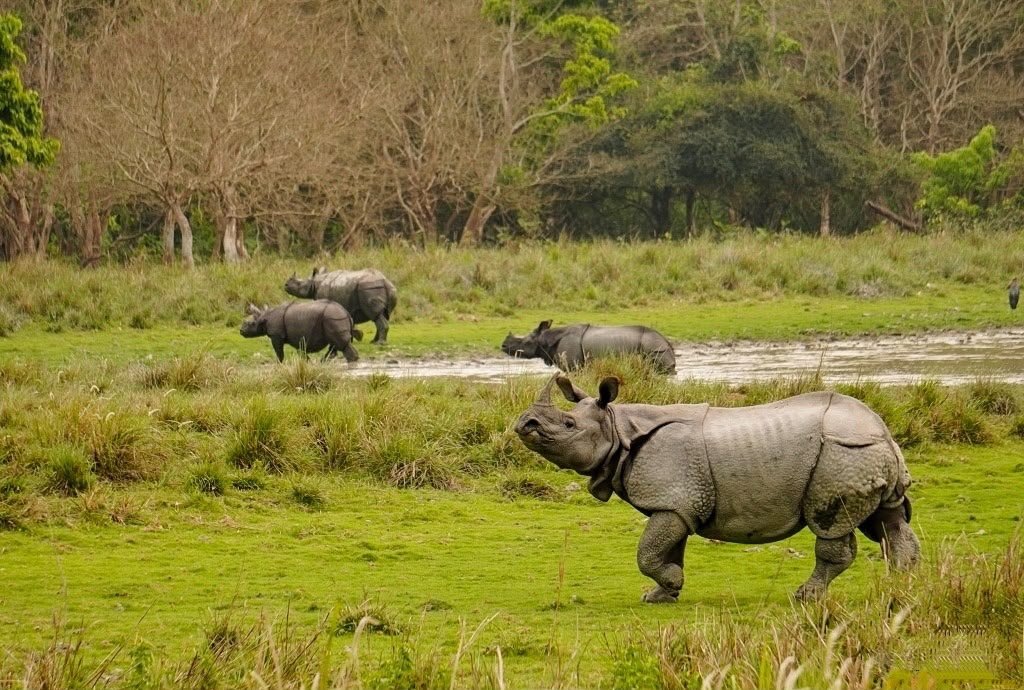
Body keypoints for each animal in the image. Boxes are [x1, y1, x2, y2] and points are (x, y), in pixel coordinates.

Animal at [501, 321, 676, 374]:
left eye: (524, 342)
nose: (503, 346)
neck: (546, 339)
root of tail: (667, 342)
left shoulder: (574, 366)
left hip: (655, 349)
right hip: (657, 348)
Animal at [515, 375, 920, 602]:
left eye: (568, 425)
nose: (524, 423)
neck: (619, 429)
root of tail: (884, 432)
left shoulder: (673, 500)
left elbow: (647, 553)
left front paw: (667, 586)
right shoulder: (676, 503)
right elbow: (667, 549)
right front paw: (662, 594)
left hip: (842, 453)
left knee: (832, 527)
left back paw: (806, 597)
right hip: (862, 455)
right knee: (888, 521)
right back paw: (899, 587)